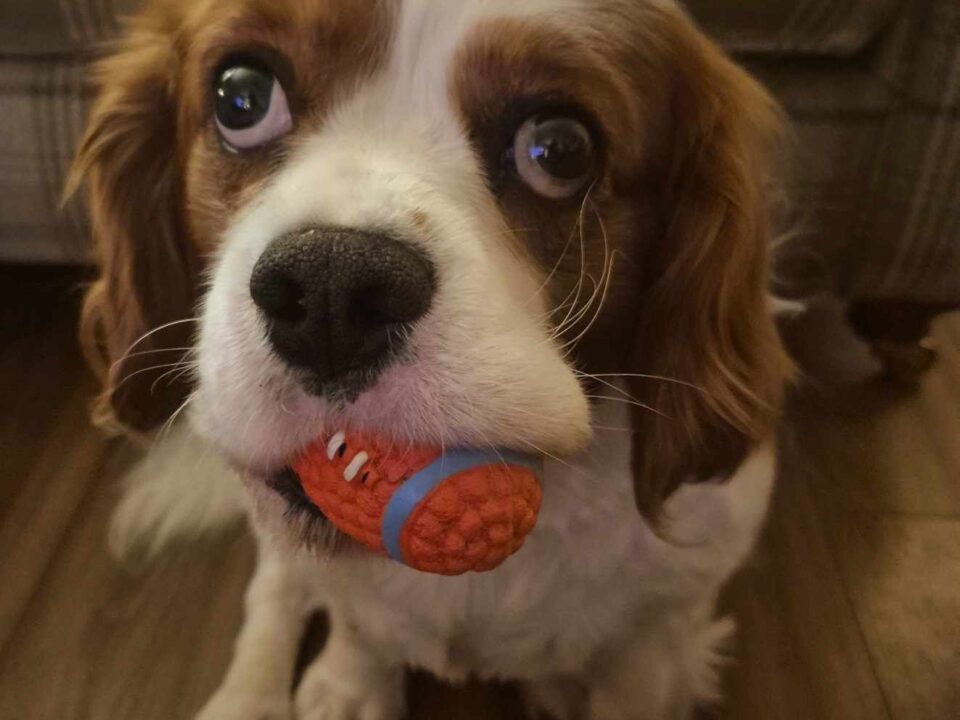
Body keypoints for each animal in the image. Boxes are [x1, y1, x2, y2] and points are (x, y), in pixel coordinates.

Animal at [71, 2, 792, 716]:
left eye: (560, 149)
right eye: (242, 98)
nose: (331, 284)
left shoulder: (658, 632)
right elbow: (351, 620)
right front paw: (351, 684)